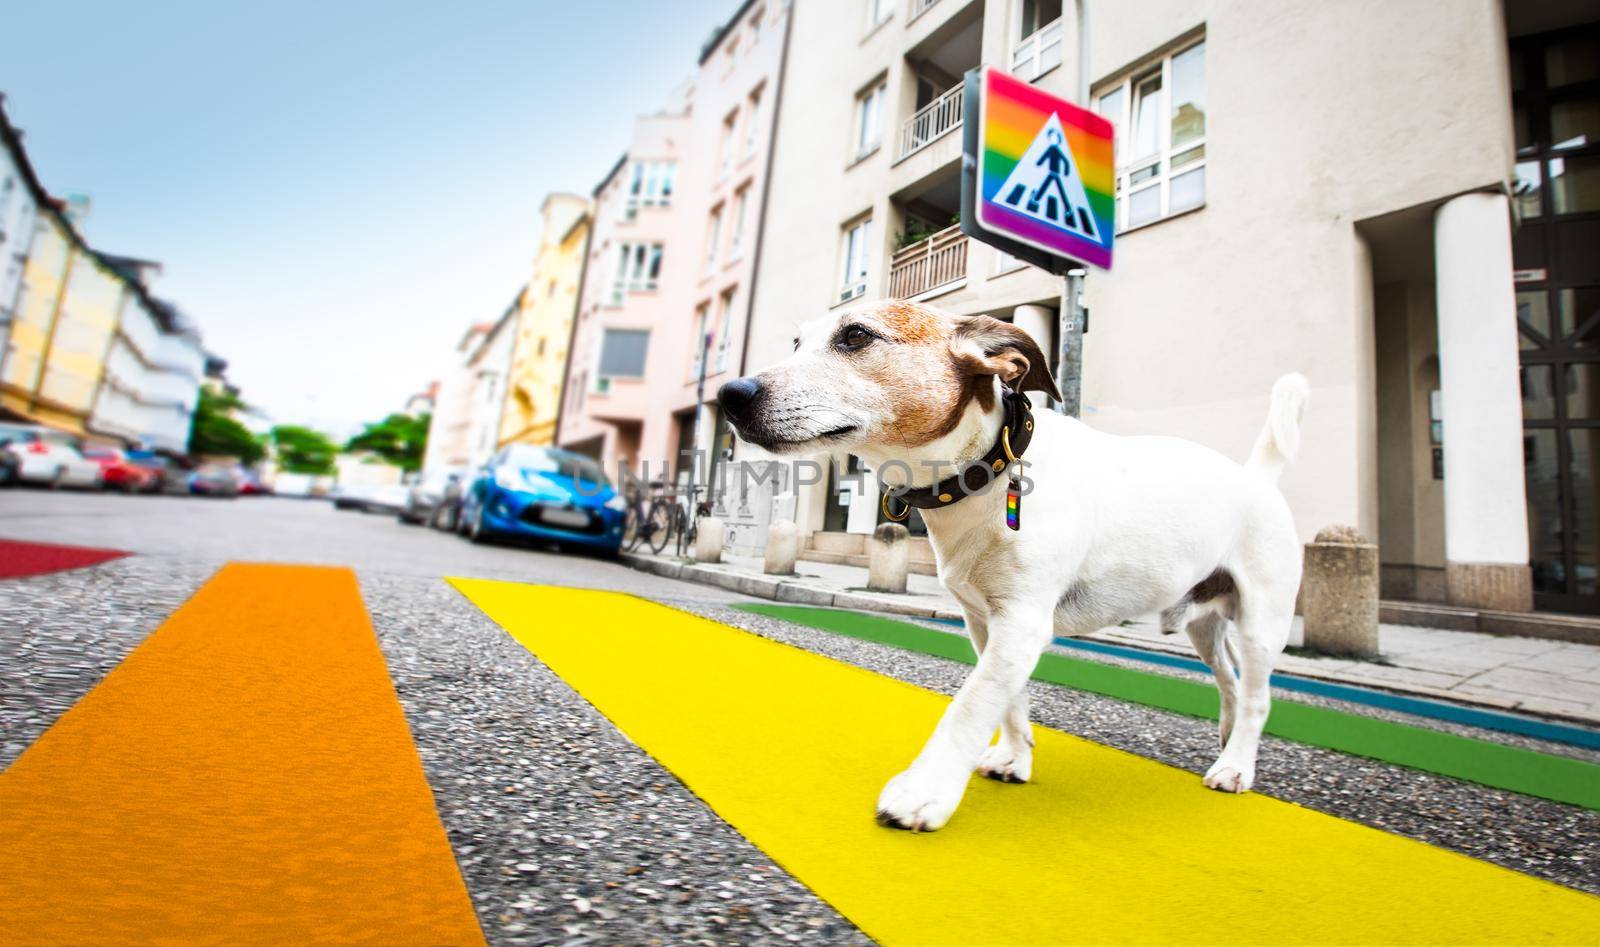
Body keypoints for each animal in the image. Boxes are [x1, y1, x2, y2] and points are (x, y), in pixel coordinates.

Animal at [720, 299, 1305, 831]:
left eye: (856, 336)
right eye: (798, 343)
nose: (730, 394)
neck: (989, 470)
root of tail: (1258, 476)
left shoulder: (1022, 623)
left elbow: (972, 703)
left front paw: (923, 791)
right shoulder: (986, 622)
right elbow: (1009, 701)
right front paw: (1013, 759)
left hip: (1262, 623)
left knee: (1258, 698)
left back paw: (1235, 767)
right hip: (1204, 624)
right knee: (1230, 681)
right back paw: (1228, 743)